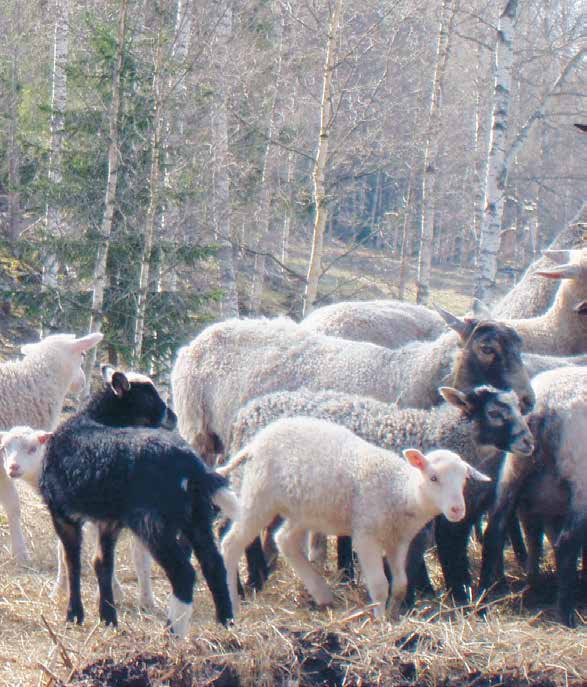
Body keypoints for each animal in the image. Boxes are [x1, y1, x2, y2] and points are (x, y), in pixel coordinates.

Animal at [218, 416, 490, 620]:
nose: (457, 510)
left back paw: (322, 594)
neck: (401, 491)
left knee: (284, 539)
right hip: (259, 495)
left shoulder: (398, 541)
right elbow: (380, 585)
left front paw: (393, 613)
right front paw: (380, 620)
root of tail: (256, 441)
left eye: (464, 480)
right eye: (433, 478)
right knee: (231, 543)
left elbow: (400, 584)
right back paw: (233, 608)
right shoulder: (366, 536)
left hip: (305, 509)